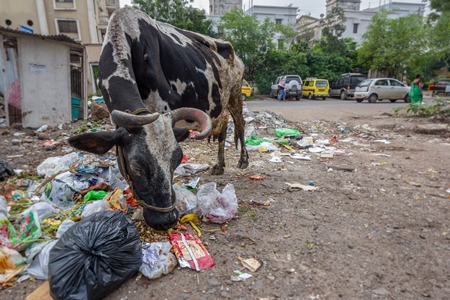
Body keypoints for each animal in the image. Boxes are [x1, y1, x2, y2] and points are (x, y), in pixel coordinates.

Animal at [68, 8, 248, 231]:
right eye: (136, 166)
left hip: (235, 93)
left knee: (240, 124)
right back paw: (219, 166)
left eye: (177, 160)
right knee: (222, 130)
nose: (166, 221)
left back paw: (243, 160)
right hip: (220, 105)